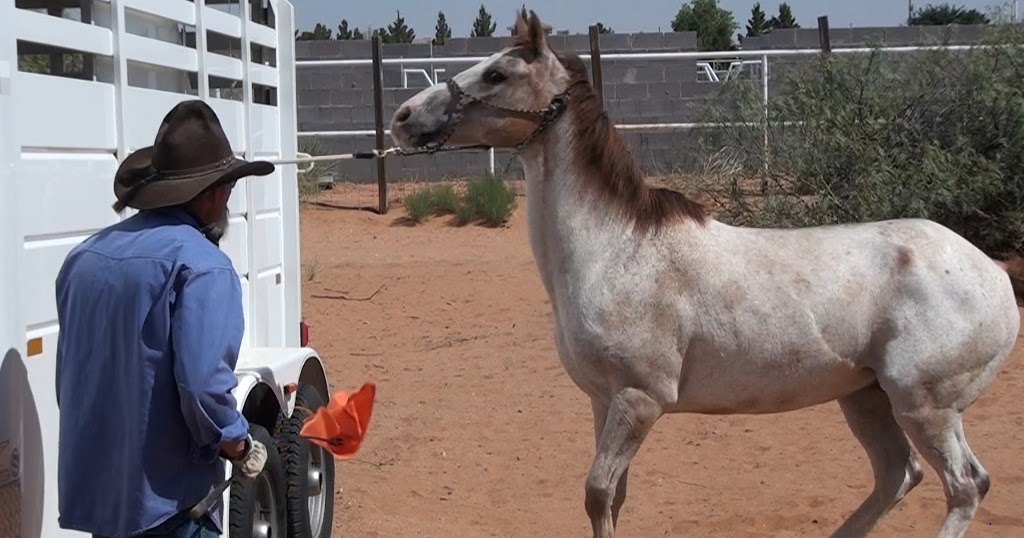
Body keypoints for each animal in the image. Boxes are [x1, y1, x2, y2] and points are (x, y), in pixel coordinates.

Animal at [388, 9, 1024, 538]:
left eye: (497, 73)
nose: (403, 116)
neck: (615, 249)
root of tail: (994, 275)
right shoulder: (603, 402)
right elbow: (613, 498)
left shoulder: (639, 399)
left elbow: (597, 493)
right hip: (865, 398)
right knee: (897, 477)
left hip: (925, 405)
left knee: (964, 486)